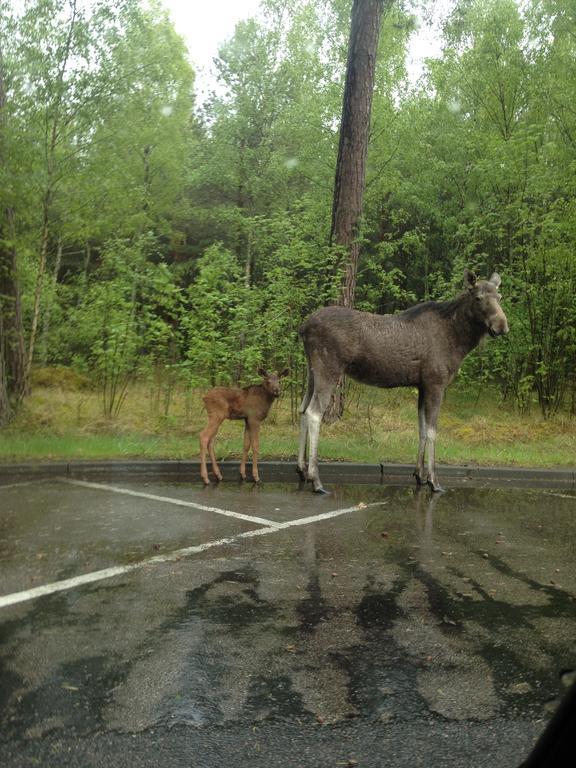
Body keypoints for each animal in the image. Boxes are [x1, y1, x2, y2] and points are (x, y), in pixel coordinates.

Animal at [300, 270, 506, 492]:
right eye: (478, 298)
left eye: (499, 297)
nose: (502, 326)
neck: (459, 341)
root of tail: (303, 327)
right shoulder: (436, 383)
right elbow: (432, 431)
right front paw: (433, 480)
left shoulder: (422, 385)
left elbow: (422, 429)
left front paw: (419, 475)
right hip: (328, 369)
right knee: (314, 413)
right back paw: (316, 479)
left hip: (312, 371)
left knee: (302, 409)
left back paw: (302, 469)